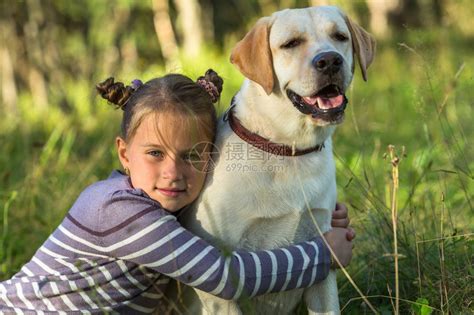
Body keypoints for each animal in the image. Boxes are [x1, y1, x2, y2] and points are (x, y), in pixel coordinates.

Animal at [183, 5, 376, 315]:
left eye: (340, 37)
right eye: (291, 44)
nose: (330, 61)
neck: (287, 149)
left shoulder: (324, 255)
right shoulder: (220, 284)